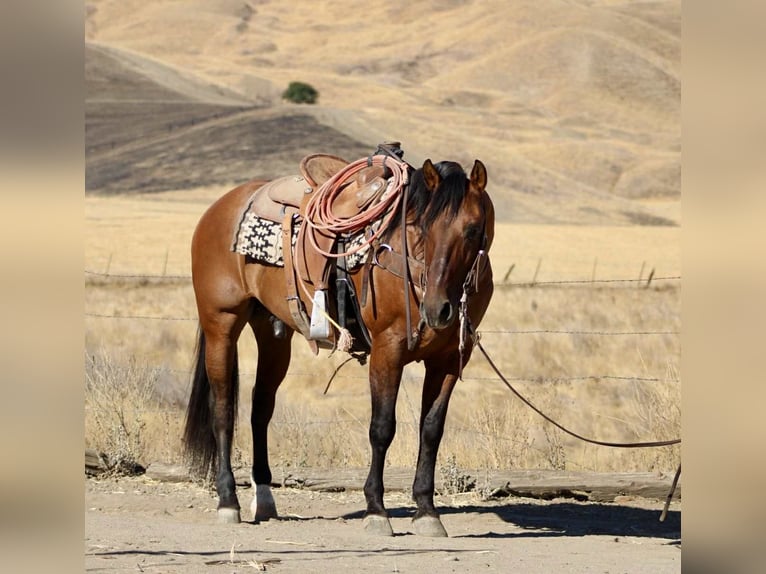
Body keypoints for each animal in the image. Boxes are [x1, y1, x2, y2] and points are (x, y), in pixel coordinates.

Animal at [183, 149, 495, 537]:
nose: (438, 308)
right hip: (221, 324)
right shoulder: (388, 350)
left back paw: (265, 498)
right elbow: (382, 428)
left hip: (271, 333)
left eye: (472, 230)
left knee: (260, 409)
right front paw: (376, 510)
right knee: (224, 410)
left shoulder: (449, 359)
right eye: (422, 228)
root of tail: (219, 207)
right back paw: (228, 501)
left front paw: (426, 511)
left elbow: (431, 430)